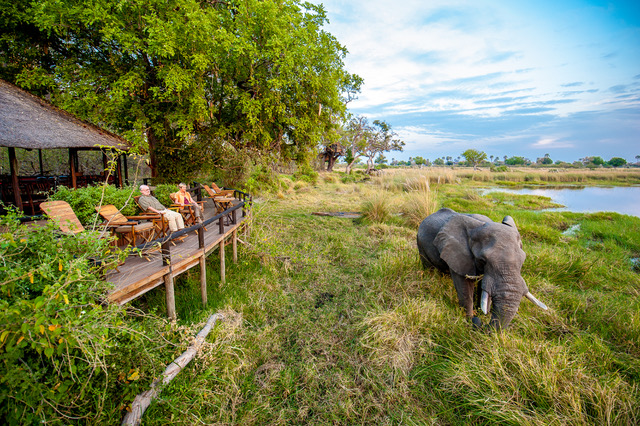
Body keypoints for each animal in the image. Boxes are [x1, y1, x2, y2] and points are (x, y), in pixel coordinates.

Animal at [418, 207, 548, 330]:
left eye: (523, 259)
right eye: (482, 260)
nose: (481, 322)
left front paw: (480, 313)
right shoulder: (457, 254)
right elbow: (464, 286)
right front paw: (469, 318)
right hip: (420, 245)